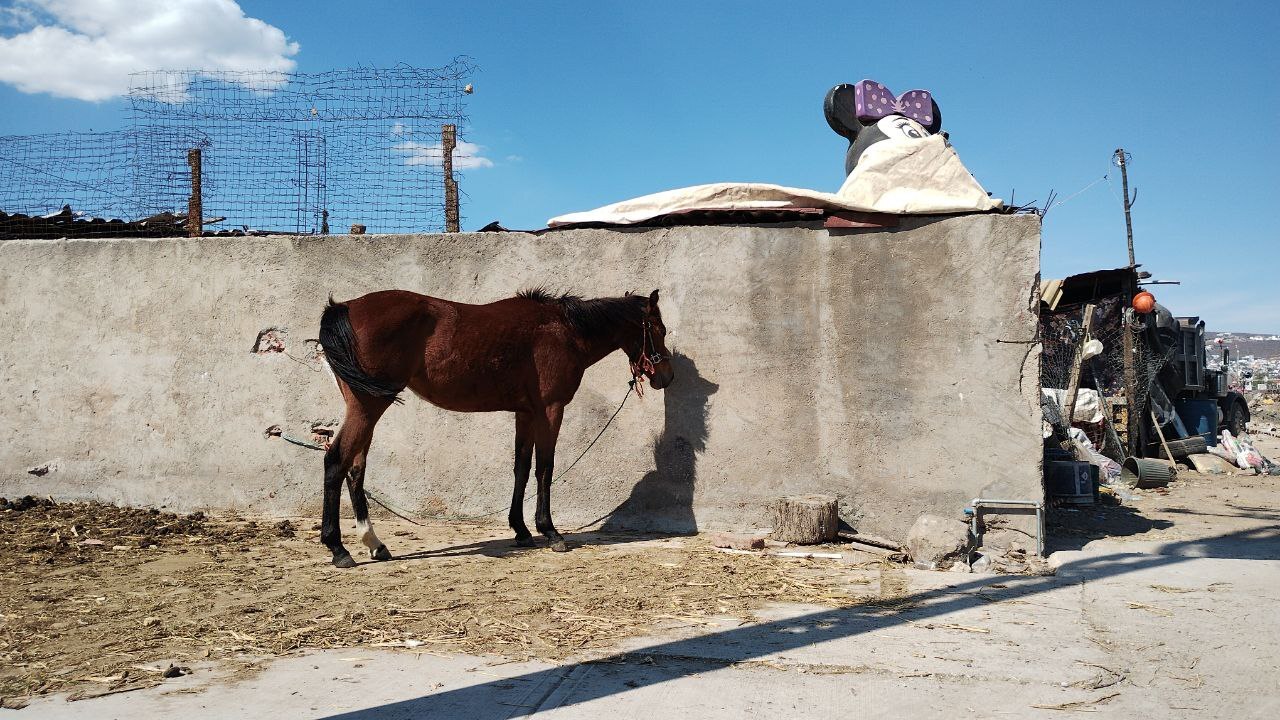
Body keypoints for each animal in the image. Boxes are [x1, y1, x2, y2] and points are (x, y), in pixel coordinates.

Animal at [316, 285, 675, 566]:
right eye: (659, 330)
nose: (666, 377)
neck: (564, 330)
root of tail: (344, 307)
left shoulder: (526, 413)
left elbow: (521, 467)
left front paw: (521, 530)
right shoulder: (550, 410)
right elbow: (545, 468)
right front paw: (550, 531)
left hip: (367, 407)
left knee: (355, 467)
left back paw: (375, 544)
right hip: (369, 406)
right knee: (336, 462)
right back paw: (338, 549)